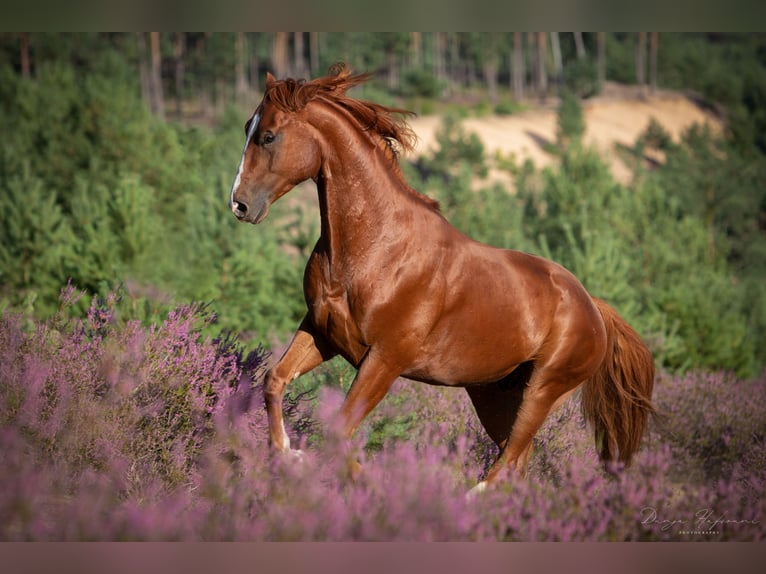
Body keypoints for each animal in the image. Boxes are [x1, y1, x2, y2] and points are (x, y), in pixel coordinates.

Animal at [229, 64, 655, 491]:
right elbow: (275, 380)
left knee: (507, 462)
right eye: (247, 126)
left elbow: (339, 430)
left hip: (545, 388)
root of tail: (593, 307)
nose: (239, 205)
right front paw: (288, 454)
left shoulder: (385, 358)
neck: (376, 247)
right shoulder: (322, 332)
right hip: (493, 393)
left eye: (269, 135)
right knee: (516, 458)